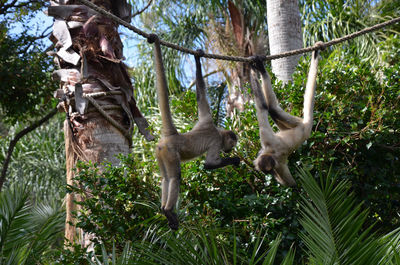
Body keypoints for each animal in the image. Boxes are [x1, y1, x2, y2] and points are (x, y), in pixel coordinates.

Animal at [148, 34, 239, 229]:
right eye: (232, 145)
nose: (230, 150)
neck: (217, 130)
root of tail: (172, 136)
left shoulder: (206, 119)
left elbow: (201, 96)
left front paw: (198, 58)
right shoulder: (216, 141)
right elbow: (209, 164)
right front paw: (235, 160)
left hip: (160, 153)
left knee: (165, 179)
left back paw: (164, 210)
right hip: (170, 153)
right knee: (175, 177)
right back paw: (168, 210)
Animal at [250, 45, 322, 186]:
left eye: (268, 171)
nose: (268, 173)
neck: (272, 153)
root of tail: (307, 126)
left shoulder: (269, 143)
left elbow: (262, 107)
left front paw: (254, 70)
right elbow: (292, 184)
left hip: (299, 125)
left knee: (272, 108)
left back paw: (261, 69)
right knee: (273, 111)